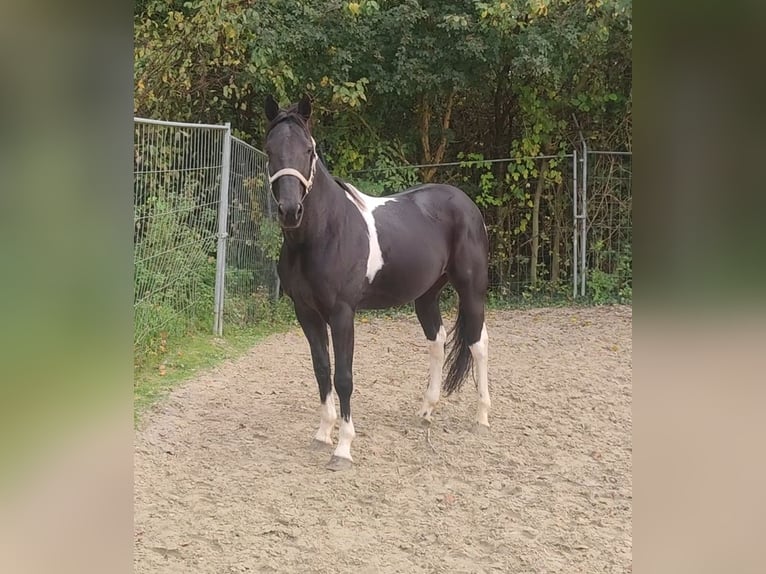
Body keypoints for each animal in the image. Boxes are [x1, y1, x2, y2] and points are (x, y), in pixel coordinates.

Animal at [264, 95, 492, 472]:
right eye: (270, 150)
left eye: (309, 150)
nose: (291, 210)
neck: (324, 234)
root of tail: (466, 203)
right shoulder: (306, 313)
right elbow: (322, 370)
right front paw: (322, 434)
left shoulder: (343, 314)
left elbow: (343, 377)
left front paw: (343, 449)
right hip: (426, 296)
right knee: (438, 341)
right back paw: (426, 410)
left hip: (471, 290)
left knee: (477, 344)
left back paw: (482, 417)